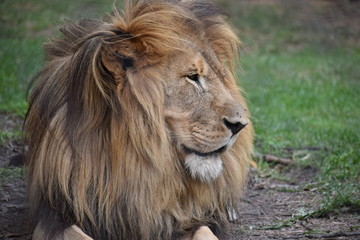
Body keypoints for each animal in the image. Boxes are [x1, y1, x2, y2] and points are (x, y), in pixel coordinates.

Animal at [24, 0, 253, 240]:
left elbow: (205, 232)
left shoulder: (184, 221)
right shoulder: (54, 216)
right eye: (192, 77)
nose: (240, 125)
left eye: (220, 75)